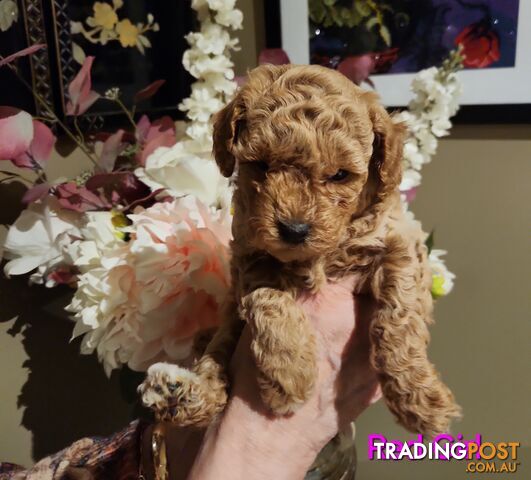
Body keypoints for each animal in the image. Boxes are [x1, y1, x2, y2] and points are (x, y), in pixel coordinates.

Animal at [141, 64, 462, 438]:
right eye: (261, 165)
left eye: (340, 175)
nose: (293, 230)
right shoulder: (250, 249)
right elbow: (268, 295)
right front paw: (289, 371)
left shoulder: (400, 243)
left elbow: (399, 318)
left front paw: (420, 399)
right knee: (214, 360)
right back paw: (177, 393)